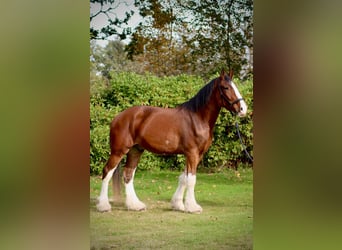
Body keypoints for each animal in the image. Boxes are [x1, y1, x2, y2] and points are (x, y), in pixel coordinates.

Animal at [95, 68, 247, 213]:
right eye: (226, 87)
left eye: (235, 86)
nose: (243, 109)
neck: (197, 117)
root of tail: (118, 117)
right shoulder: (192, 153)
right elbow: (191, 180)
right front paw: (192, 207)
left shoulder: (196, 154)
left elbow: (184, 178)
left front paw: (178, 204)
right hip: (118, 151)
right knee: (107, 172)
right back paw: (104, 206)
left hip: (135, 150)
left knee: (128, 175)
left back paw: (135, 205)